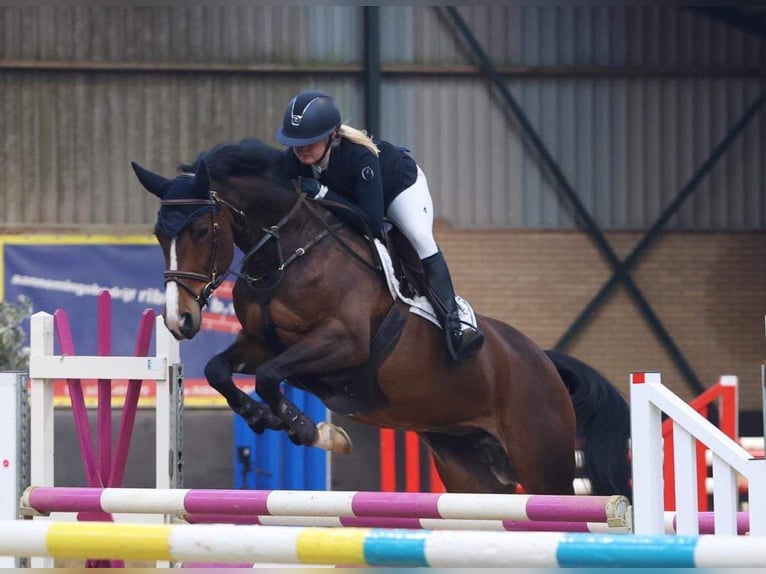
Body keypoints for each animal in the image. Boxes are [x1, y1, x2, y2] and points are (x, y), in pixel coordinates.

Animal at [132, 138, 632, 498]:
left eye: (200, 230)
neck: (285, 255)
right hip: (467, 465)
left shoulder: (344, 343)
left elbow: (273, 376)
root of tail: (544, 361)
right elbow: (220, 370)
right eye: (158, 233)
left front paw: (314, 431)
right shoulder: (259, 343)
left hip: (544, 462)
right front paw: (259, 417)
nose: (180, 320)